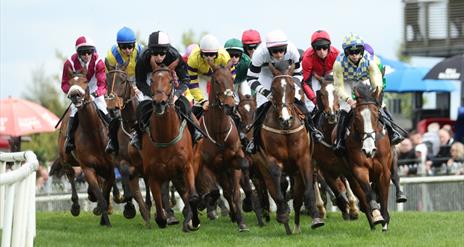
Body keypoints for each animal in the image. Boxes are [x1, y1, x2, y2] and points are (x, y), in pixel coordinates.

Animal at [57, 70, 115, 227]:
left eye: (85, 81)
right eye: (70, 83)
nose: (74, 94)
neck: (93, 133)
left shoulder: (111, 168)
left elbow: (105, 193)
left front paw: (102, 216)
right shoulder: (87, 167)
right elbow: (101, 196)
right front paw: (106, 221)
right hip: (65, 159)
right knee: (70, 174)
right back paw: (76, 206)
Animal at [140, 59, 200, 232]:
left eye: (171, 81)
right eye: (152, 81)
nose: (159, 103)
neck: (166, 135)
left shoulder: (187, 166)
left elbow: (193, 196)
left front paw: (194, 221)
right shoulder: (153, 173)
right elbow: (158, 202)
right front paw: (162, 219)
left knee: (187, 194)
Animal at [197, 61, 250, 232]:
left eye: (232, 80)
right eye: (216, 81)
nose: (229, 106)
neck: (219, 131)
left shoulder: (234, 161)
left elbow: (236, 192)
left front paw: (242, 222)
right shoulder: (208, 166)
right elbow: (215, 191)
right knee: (223, 191)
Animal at [254, 60, 322, 234]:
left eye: (292, 87)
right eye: (273, 89)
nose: (286, 119)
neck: (285, 130)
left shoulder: (304, 159)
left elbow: (308, 190)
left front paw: (316, 218)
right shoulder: (272, 161)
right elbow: (278, 188)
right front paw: (283, 213)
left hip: (296, 172)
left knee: (297, 198)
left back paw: (296, 226)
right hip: (263, 168)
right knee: (274, 189)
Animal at [342, 82, 394, 231]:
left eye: (376, 115)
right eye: (357, 117)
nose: (369, 149)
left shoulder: (384, 171)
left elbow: (383, 196)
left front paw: (385, 222)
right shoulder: (359, 169)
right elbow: (368, 193)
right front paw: (377, 216)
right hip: (351, 177)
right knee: (364, 198)